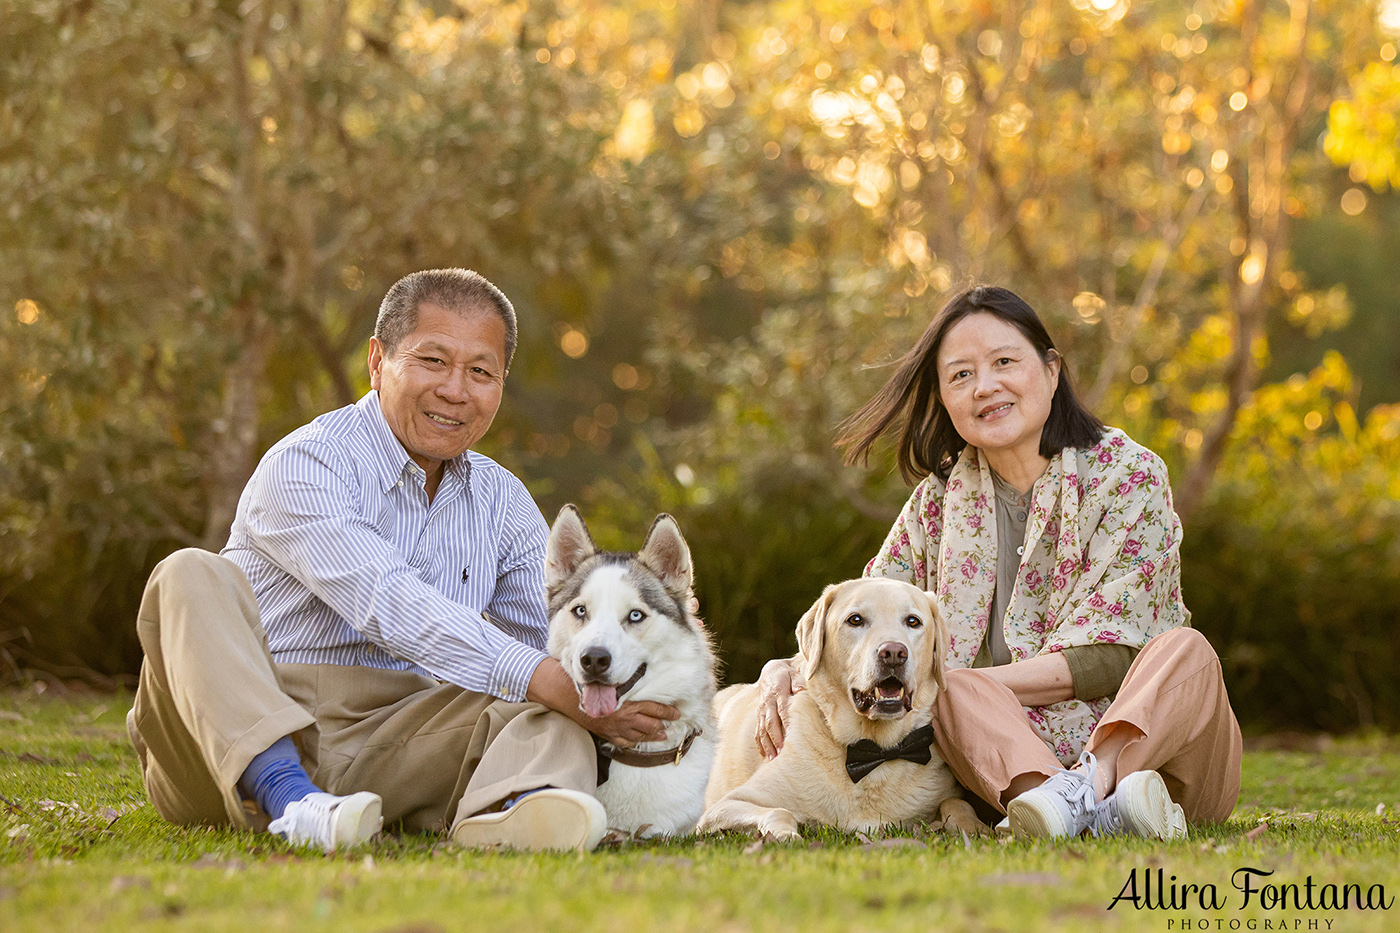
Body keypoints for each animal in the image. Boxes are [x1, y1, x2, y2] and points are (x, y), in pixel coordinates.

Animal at [700, 577, 985, 840]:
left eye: (913, 621)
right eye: (855, 620)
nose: (893, 652)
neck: (874, 750)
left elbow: (957, 803)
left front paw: (974, 828)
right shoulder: (725, 806)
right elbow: (780, 811)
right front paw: (784, 835)